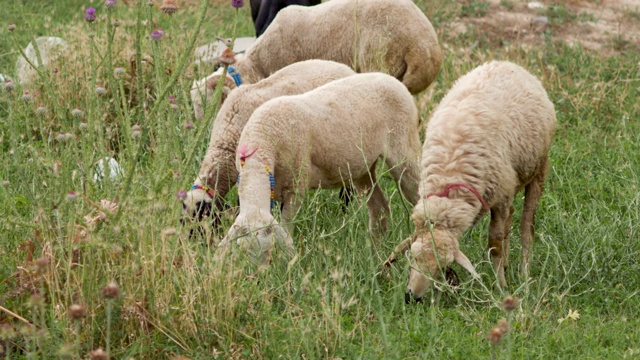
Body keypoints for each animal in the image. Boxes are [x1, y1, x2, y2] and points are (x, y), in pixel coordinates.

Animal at [218, 71, 422, 260]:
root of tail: (391, 79)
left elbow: (287, 226)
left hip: (404, 148)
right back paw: (375, 252)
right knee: (379, 208)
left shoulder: (296, 186)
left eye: (268, 249)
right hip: (362, 168)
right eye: (244, 251)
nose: (259, 274)